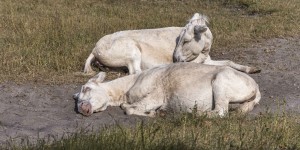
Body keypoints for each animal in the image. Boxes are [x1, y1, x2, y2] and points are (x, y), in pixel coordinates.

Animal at [73, 62, 260, 117]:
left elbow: (128, 109)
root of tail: (256, 88)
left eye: (87, 88)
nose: (82, 108)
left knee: (220, 112)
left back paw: (193, 113)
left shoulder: (156, 95)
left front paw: (152, 114)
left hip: (221, 81)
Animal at [82, 12, 260, 75]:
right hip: (131, 50)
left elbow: (229, 62)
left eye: (186, 40)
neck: (203, 53)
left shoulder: (206, 59)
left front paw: (251, 68)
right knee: (135, 71)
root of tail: (95, 48)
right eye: (179, 39)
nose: (176, 58)